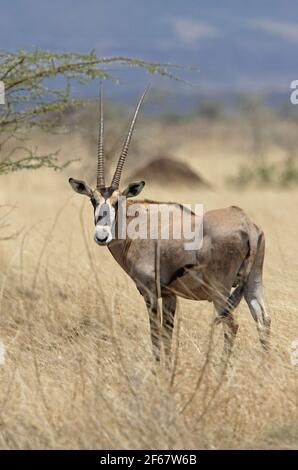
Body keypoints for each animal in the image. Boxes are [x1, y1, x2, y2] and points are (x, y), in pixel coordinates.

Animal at [68, 84, 272, 364]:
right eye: (93, 200)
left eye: (118, 201)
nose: (101, 236)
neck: (137, 226)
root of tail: (248, 225)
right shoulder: (171, 295)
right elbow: (167, 335)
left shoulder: (150, 291)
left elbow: (156, 335)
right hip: (253, 282)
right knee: (263, 320)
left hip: (220, 290)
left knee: (232, 325)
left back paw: (220, 370)